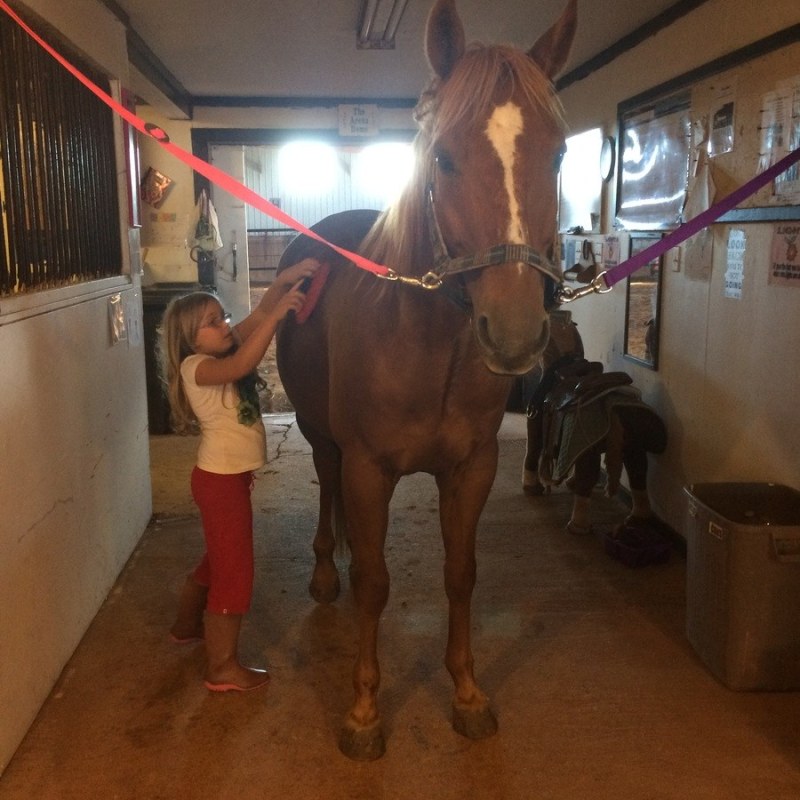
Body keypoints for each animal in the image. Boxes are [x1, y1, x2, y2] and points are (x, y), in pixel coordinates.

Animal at [276, 0, 577, 760]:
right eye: (442, 155)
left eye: (559, 153)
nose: (515, 330)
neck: (422, 345)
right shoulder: (368, 469)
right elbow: (376, 583)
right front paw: (362, 712)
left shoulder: (472, 468)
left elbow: (460, 574)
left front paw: (468, 694)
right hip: (323, 440)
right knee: (325, 490)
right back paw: (324, 575)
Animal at [522, 310, 668, 536]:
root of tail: (613, 410)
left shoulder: (537, 421)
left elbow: (533, 449)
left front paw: (531, 486)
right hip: (633, 446)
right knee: (637, 474)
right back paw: (636, 519)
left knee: (588, 478)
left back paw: (578, 526)